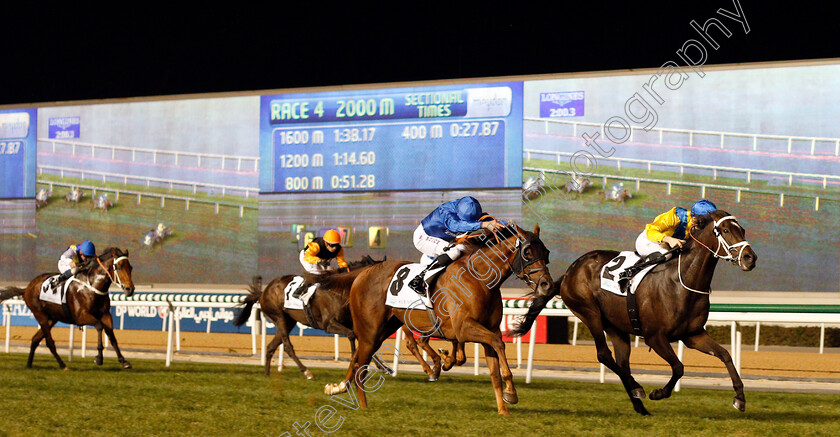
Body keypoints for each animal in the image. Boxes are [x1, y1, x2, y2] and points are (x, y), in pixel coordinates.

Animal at [0, 247, 136, 366]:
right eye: (118, 267)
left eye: (130, 267)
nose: (130, 289)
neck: (92, 286)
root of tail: (27, 288)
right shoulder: (81, 316)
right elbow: (99, 326)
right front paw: (99, 357)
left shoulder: (105, 314)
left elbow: (111, 336)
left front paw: (123, 360)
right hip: (40, 315)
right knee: (49, 342)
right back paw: (62, 365)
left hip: (51, 318)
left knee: (35, 339)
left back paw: (29, 365)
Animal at [324, 225, 556, 416]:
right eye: (527, 252)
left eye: (546, 253)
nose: (547, 285)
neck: (480, 278)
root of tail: (363, 273)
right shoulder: (465, 328)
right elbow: (498, 344)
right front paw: (511, 392)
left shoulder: (489, 329)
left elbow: (494, 370)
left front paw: (503, 409)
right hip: (371, 332)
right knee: (361, 367)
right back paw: (363, 407)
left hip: (383, 329)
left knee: (357, 360)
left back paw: (339, 388)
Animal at [508, 211, 756, 416]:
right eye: (725, 230)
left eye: (742, 230)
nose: (750, 258)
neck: (682, 281)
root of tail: (569, 272)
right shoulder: (655, 337)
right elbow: (678, 367)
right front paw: (659, 393)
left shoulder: (693, 335)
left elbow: (725, 355)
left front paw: (740, 398)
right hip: (589, 313)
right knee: (604, 355)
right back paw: (638, 388)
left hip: (616, 326)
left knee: (621, 362)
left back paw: (640, 405)